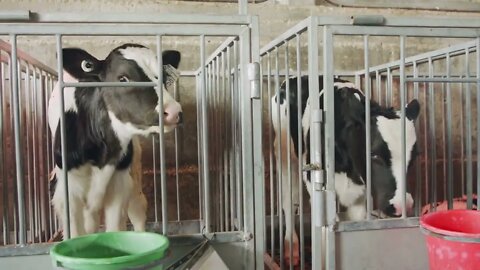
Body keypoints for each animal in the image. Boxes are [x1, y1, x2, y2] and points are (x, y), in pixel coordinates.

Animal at [47, 43, 182, 236]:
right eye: (123, 78)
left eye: (163, 78)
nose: (174, 111)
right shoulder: (69, 193)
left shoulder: (120, 185)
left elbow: (116, 228)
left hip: (134, 169)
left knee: (137, 208)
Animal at [272, 76, 422, 266]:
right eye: (374, 154)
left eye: (414, 155)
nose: (402, 205)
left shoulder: (361, 193)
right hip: (284, 155)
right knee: (289, 202)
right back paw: (290, 249)